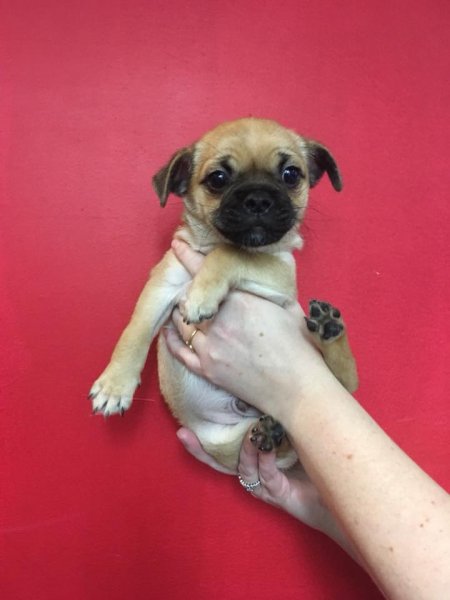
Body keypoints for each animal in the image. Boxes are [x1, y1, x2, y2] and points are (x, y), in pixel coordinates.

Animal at [89, 117, 358, 472]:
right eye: (218, 179)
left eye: (291, 175)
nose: (258, 199)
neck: (212, 243)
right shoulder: (161, 287)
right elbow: (134, 332)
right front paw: (115, 385)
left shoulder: (279, 271)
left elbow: (232, 254)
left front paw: (201, 295)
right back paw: (274, 428)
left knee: (345, 384)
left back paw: (330, 331)